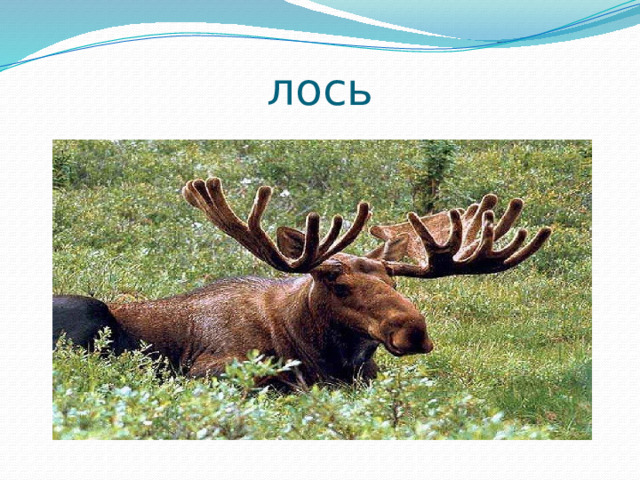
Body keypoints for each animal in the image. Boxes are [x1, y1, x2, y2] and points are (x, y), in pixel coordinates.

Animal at [53, 177, 551, 388]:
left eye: (392, 279)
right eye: (336, 281)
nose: (414, 330)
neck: (327, 356)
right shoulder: (209, 368)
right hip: (88, 311)